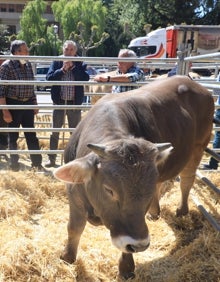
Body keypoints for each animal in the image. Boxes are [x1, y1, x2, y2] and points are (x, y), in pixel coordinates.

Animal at [54, 75, 214, 280]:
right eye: (109, 190)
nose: (139, 244)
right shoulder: (74, 193)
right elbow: (74, 227)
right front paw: (67, 257)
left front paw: (126, 268)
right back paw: (155, 212)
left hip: (198, 148)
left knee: (186, 181)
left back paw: (181, 210)